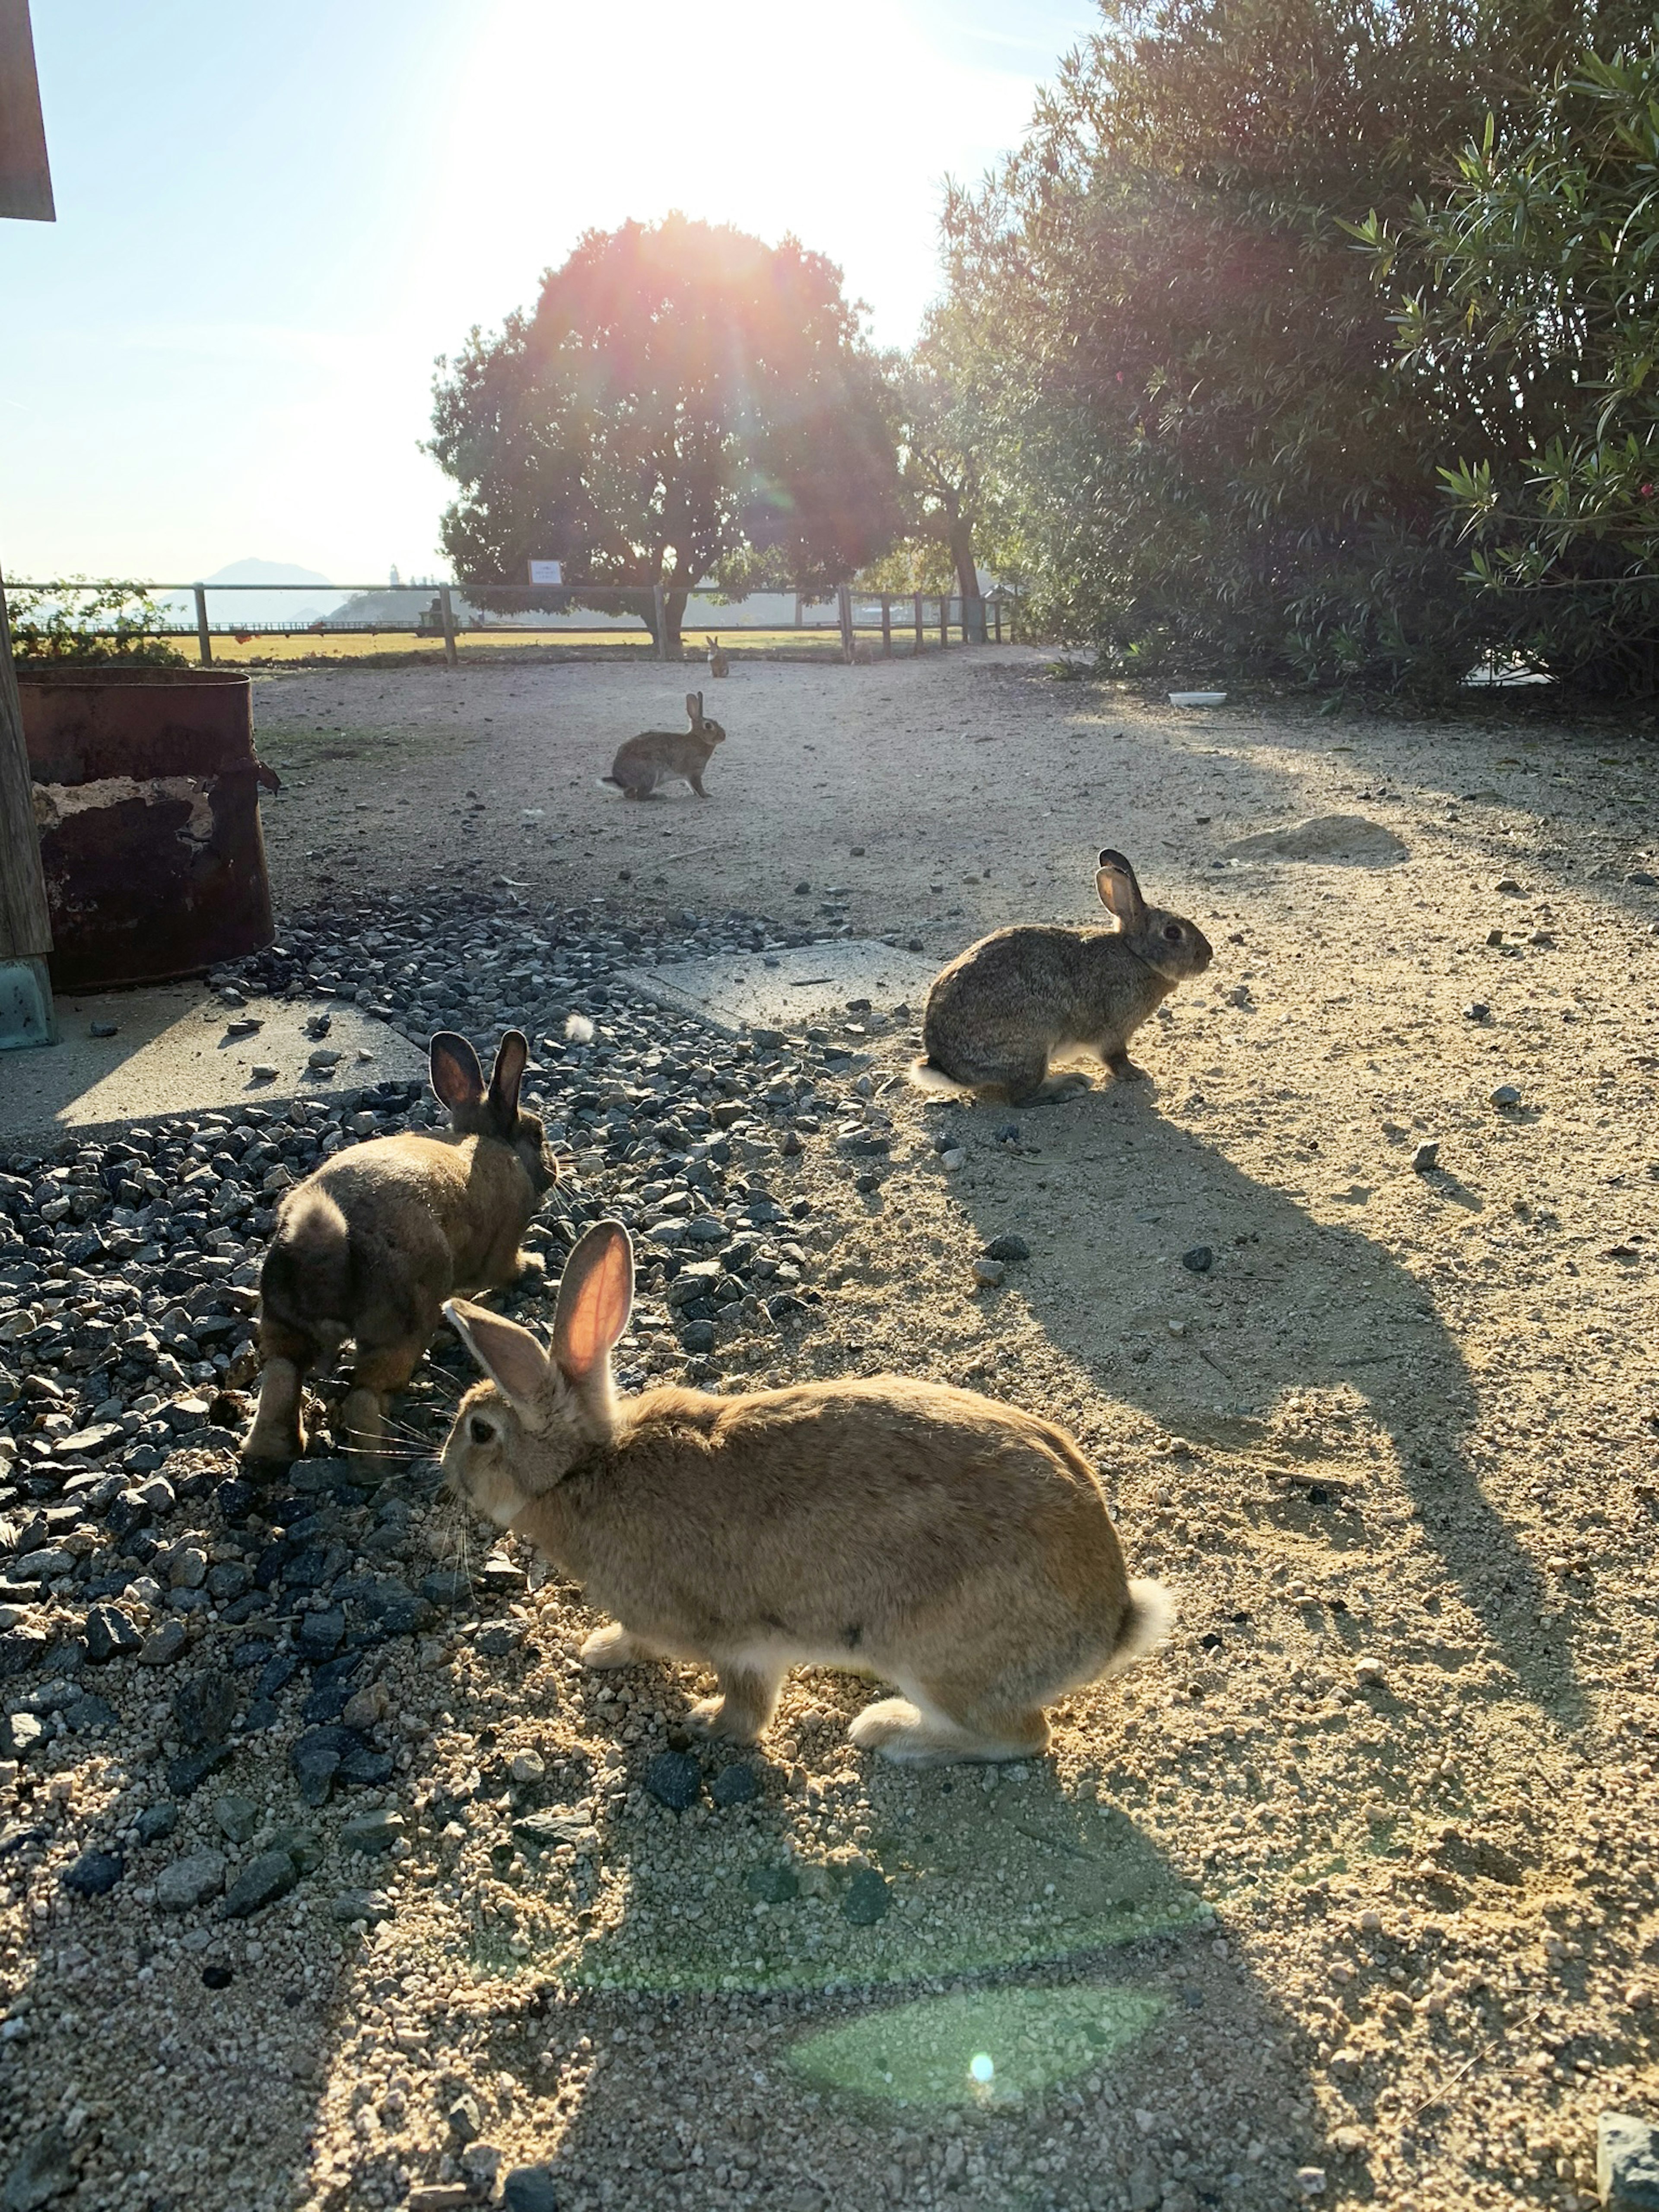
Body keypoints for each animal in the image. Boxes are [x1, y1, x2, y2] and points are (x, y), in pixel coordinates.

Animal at [243, 1030, 559, 1468]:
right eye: (537, 1135)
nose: (556, 1168)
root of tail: (322, 1248)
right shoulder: (503, 1247)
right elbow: (505, 1269)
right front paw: (535, 1266)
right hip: (399, 1326)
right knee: (364, 1397)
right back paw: (377, 1470)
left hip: (282, 1320)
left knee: (281, 1375)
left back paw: (271, 1454)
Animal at [601, 690, 725, 805]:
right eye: (708, 726)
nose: (724, 736)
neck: (699, 738)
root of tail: (620, 779)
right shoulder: (694, 772)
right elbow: (698, 786)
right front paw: (707, 795)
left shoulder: (689, 776)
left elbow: (691, 786)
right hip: (650, 773)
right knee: (640, 796)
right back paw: (659, 796)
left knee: (629, 794)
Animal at [915, 854, 1212, 1115]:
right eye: (1172, 933)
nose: (1208, 956)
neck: (1136, 956)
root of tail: (947, 1066)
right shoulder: (1113, 1033)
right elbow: (1116, 1058)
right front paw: (1136, 1072)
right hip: (1033, 1044)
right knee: (1022, 1097)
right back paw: (1071, 1086)